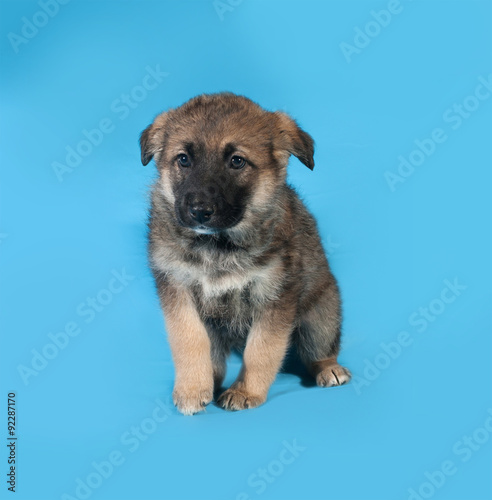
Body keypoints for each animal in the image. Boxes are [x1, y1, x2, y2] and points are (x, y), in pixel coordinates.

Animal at [140, 93, 352, 414]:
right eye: (184, 159)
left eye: (236, 161)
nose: (199, 211)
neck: (218, 246)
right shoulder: (177, 289)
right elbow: (189, 340)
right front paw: (192, 388)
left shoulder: (274, 296)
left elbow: (261, 349)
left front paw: (246, 391)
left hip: (321, 315)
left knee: (319, 348)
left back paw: (328, 367)